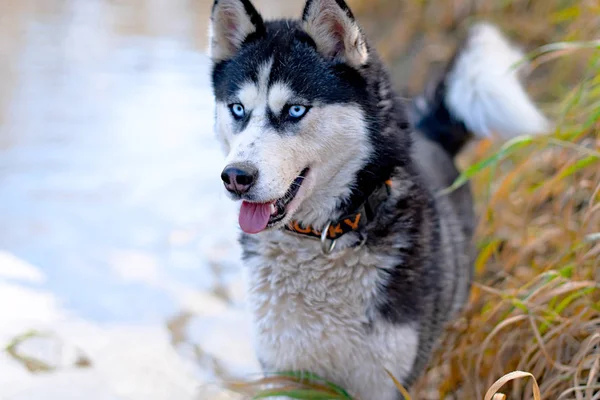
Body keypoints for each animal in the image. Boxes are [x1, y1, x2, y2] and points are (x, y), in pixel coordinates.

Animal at [209, 1, 552, 398]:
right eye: (237, 109)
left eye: (295, 110)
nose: (236, 177)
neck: (327, 235)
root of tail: (429, 133)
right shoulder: (284, 375)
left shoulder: (388, 382)